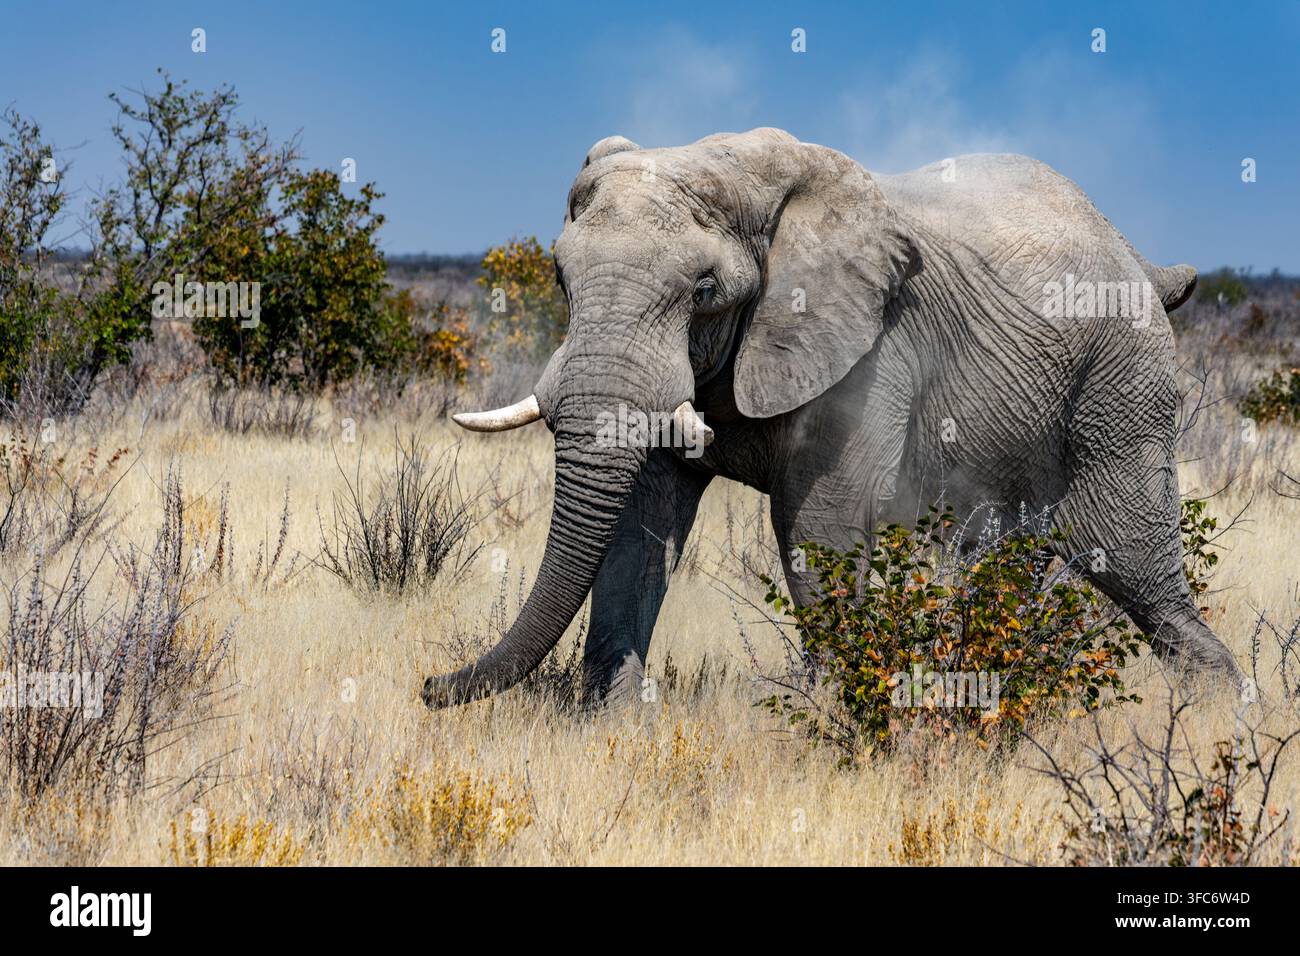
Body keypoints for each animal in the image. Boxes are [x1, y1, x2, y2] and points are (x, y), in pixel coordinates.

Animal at [422, 126, 1241, 709]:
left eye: (705, 289)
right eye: (560, 276)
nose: (430, 686)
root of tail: (1141, 259)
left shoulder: (872, 348)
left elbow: (819, 520)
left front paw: (822, 723)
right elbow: (637, 521)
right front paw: (611, 720)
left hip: (1122, 382)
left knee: (1128, 555)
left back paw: (1218, 710)